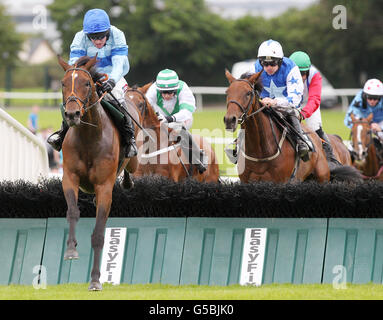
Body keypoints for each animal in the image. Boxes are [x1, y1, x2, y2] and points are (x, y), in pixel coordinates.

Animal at [57, 55, 141, 290]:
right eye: (63, 83)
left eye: (87, 83)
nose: (72, 114)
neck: (88, 136)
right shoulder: (70, 177)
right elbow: (72, 211)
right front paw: (71, 250)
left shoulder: (104, 187)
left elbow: (99, 235)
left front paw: (95, 280)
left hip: (132, 162)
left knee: (131, 170)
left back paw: (128, 181)